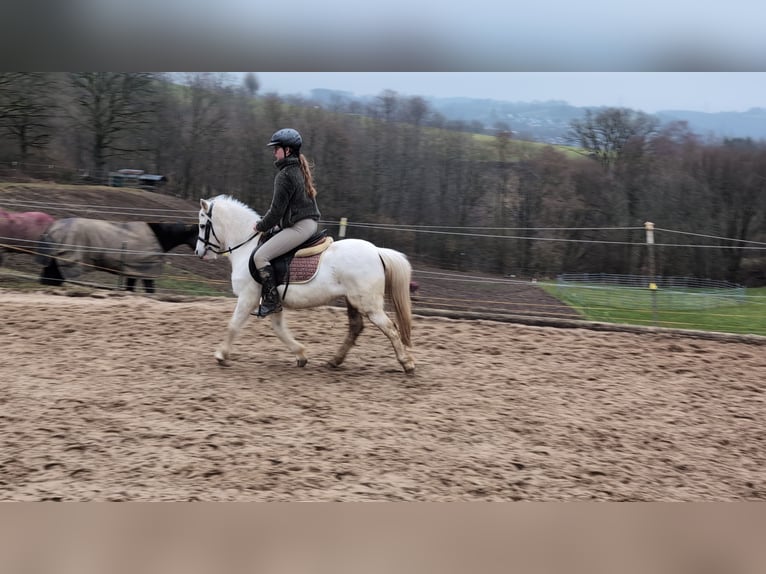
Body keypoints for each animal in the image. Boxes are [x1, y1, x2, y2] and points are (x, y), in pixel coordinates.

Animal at [36, 218, 198, 293]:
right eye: (198, 233)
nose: (200, 253)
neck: (158, 236)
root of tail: (50, 229)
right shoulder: (146, 272)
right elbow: (149, 290)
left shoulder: (133, 272)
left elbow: (131, 289)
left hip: (53, 263)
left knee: (48, 280)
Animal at [195, 195, 415, 374]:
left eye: (202, 225)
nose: (198, 252)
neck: (247, 246)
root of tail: (377, 251)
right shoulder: (272, 302)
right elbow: (279, 329)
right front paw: (301, 354)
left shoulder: (248, 297)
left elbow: (234, 324)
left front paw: (221, 355)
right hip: (352, 301)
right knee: (355, 328)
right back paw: (334, 361)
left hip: (368, 304)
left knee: (390, 328)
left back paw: (407, 363)